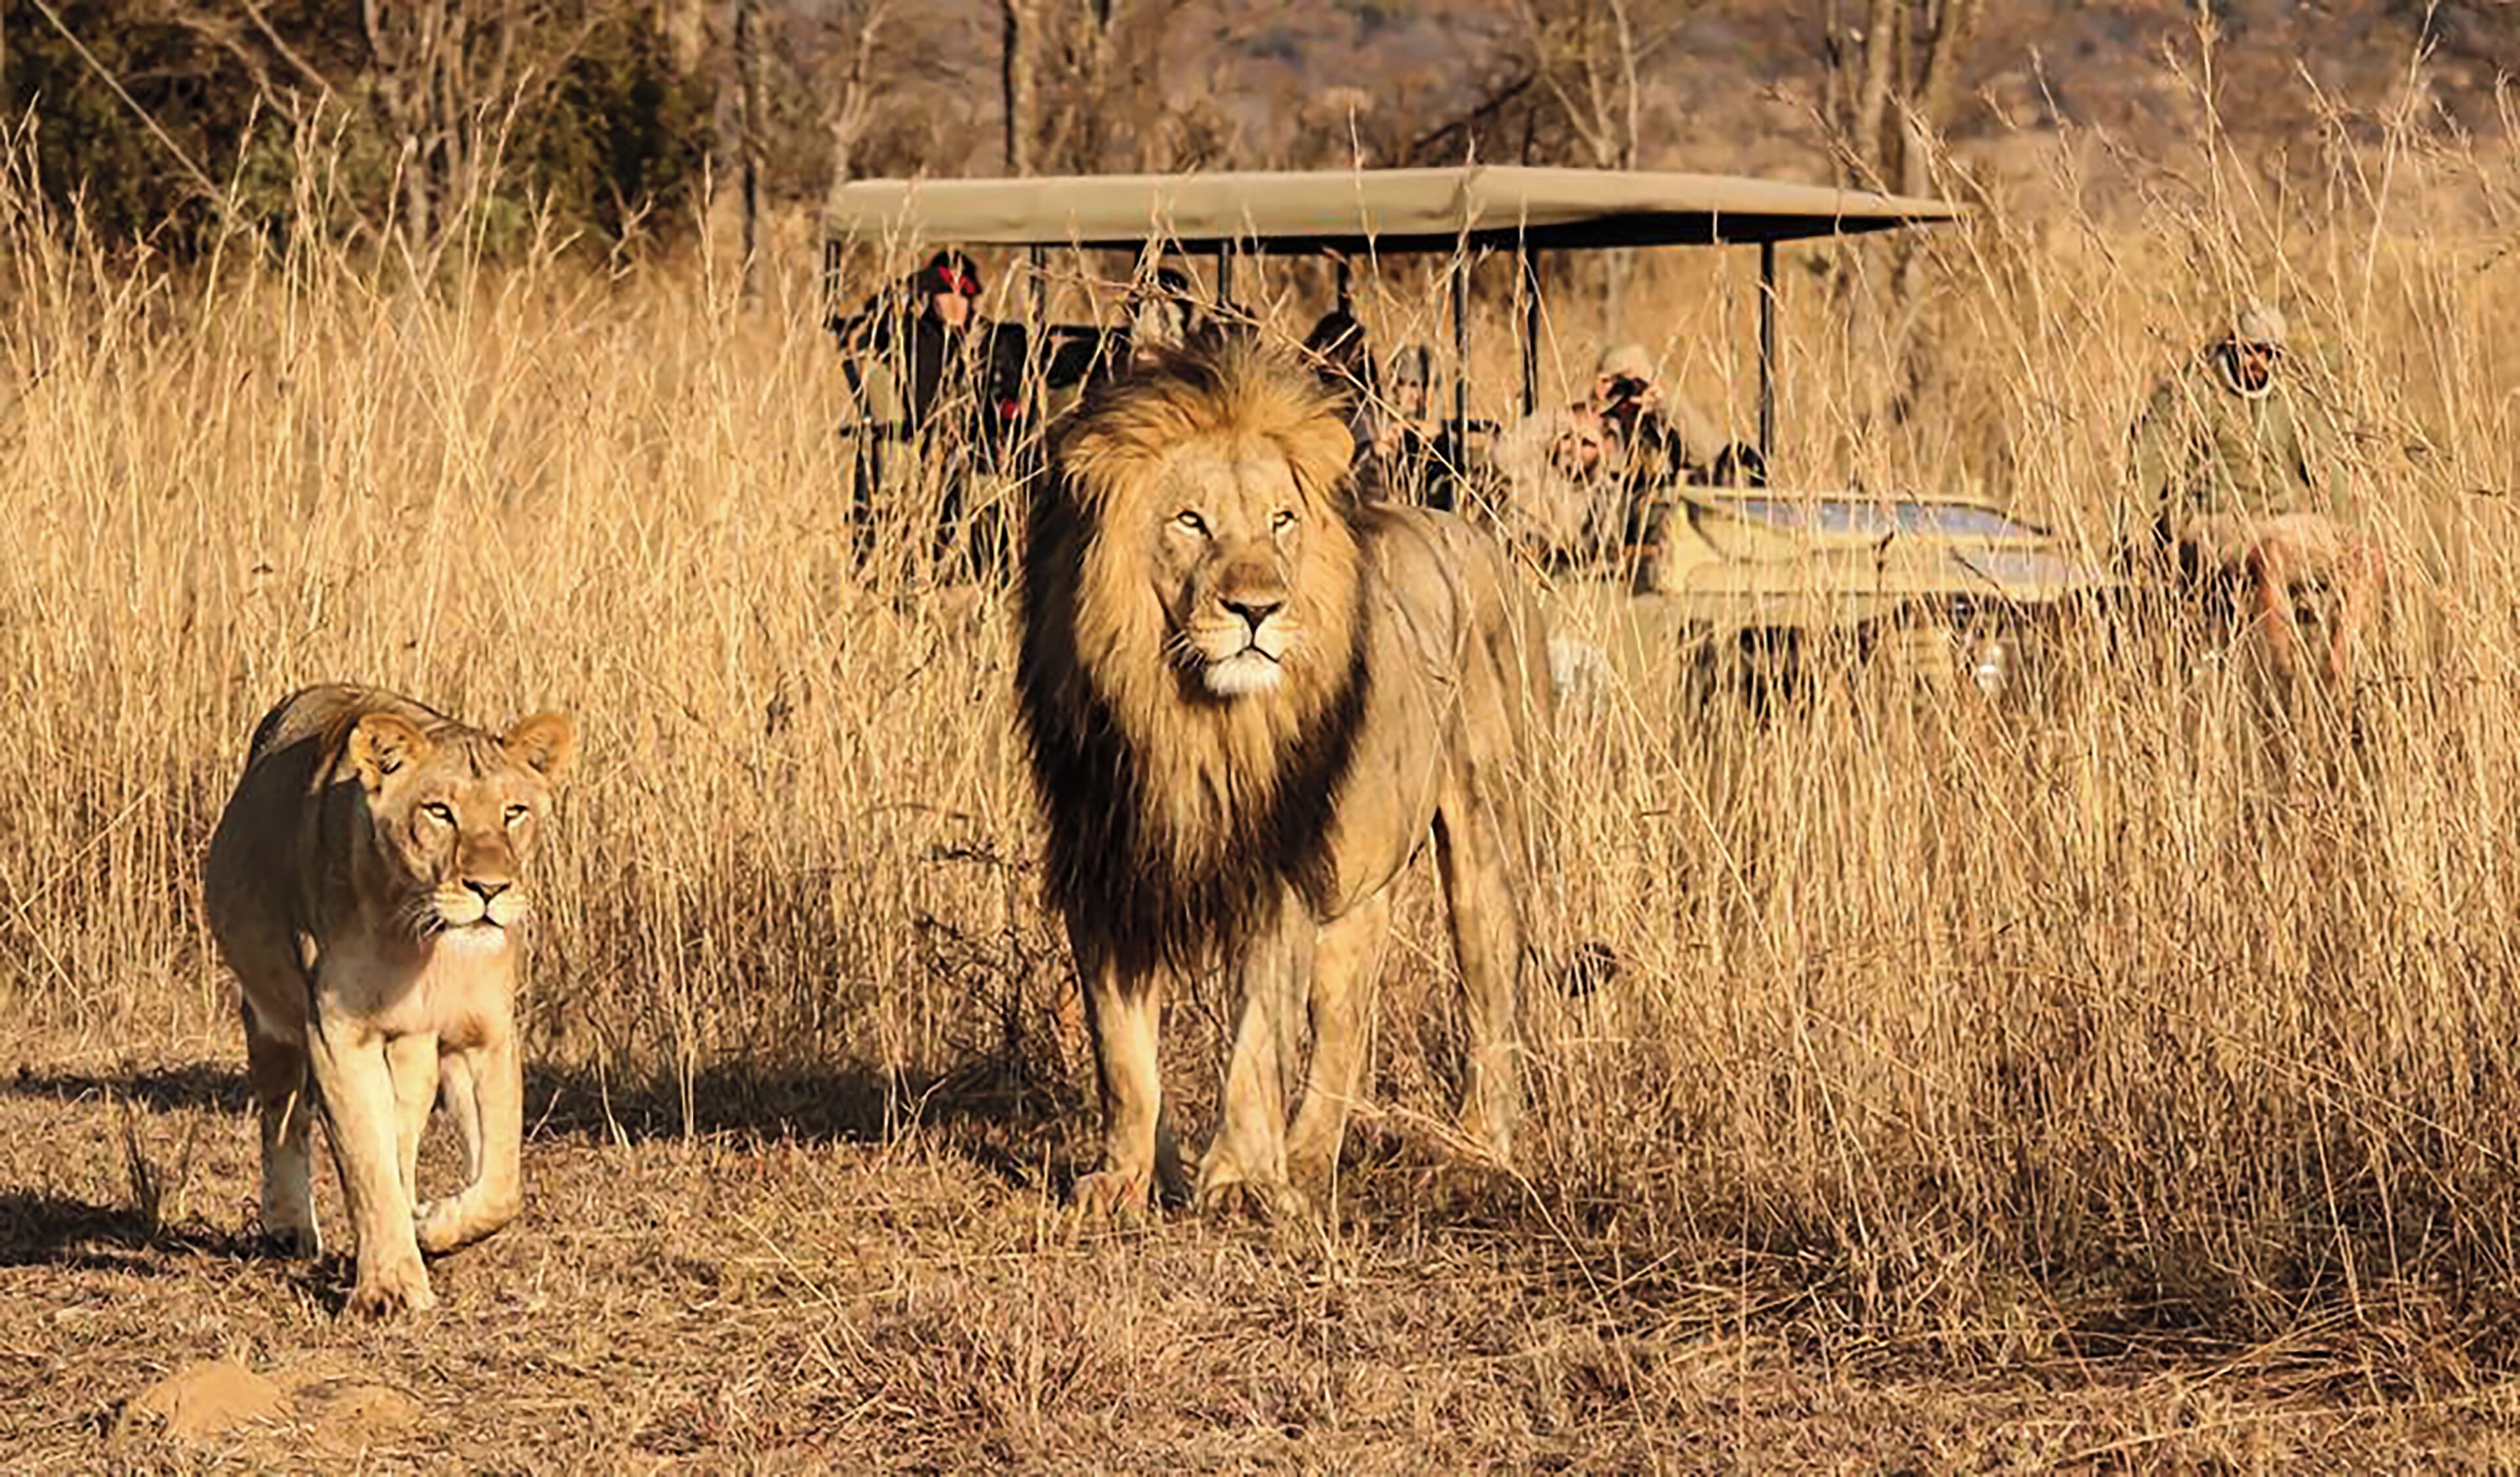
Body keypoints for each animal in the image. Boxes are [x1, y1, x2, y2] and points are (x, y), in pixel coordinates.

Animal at [201, 684, 575, 1316]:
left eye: (514, 812)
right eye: (440, 811)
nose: (490, 889)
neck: (426, 942)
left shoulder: (486, 1033)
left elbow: (500, 1184)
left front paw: (433, 1226)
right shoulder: (336, 1032)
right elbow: (365, 1163)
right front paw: (391, 1287)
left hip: (415, 1048)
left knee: (402, 1133)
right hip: (271, 1021)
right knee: (285, 1116)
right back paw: (288, 1229)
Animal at [1015, 338, 1558, 1218]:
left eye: (1281, 521)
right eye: (1191, 521)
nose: (1257, 610)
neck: (1192, 718)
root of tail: (1472, 533)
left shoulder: (1276, 875)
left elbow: (1256, 1038)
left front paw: (1238, 1179)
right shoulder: (1106, 868)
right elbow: (1121, 1051)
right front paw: (1128, 1177)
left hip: (1488, 838)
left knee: (1491, 997)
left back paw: (1475, 1148)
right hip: (1359, 888)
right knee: (1343, 1021)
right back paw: (1304, 1161)